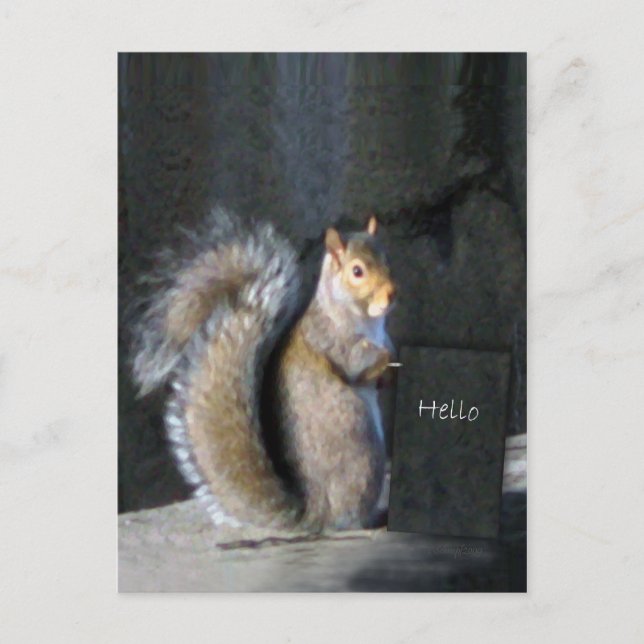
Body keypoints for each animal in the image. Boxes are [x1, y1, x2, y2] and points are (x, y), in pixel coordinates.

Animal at [132, 208, 396, 532]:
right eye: (357, 272)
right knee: (351, 518)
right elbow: (357, 360)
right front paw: (387, 358)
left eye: (386, 258)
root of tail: (316, 515)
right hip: (363, 450)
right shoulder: (332, 340)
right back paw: (372, 517)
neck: (366, 319)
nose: (392, 293)